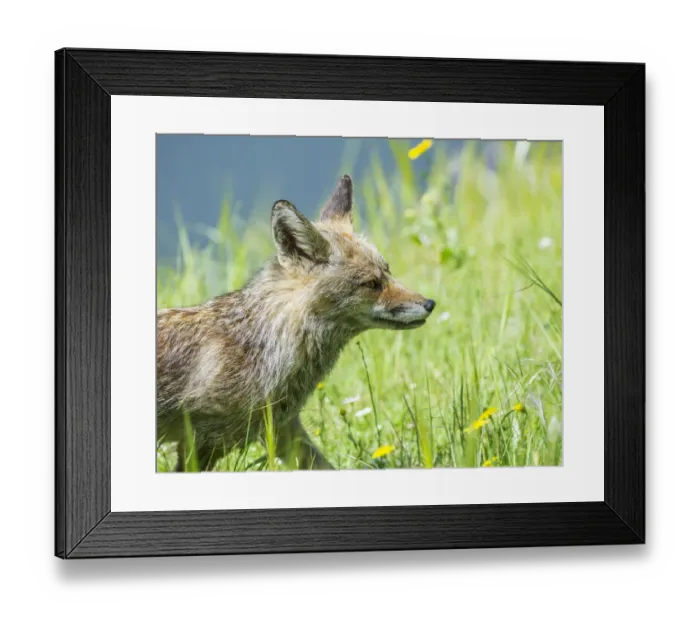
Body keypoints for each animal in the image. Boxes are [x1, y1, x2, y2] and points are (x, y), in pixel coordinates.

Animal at [157, 175, 436, 472]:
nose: (430, 303)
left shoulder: (284, 430)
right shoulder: (200, 443)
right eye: (372, 284)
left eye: (388, 271)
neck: (264, 348)